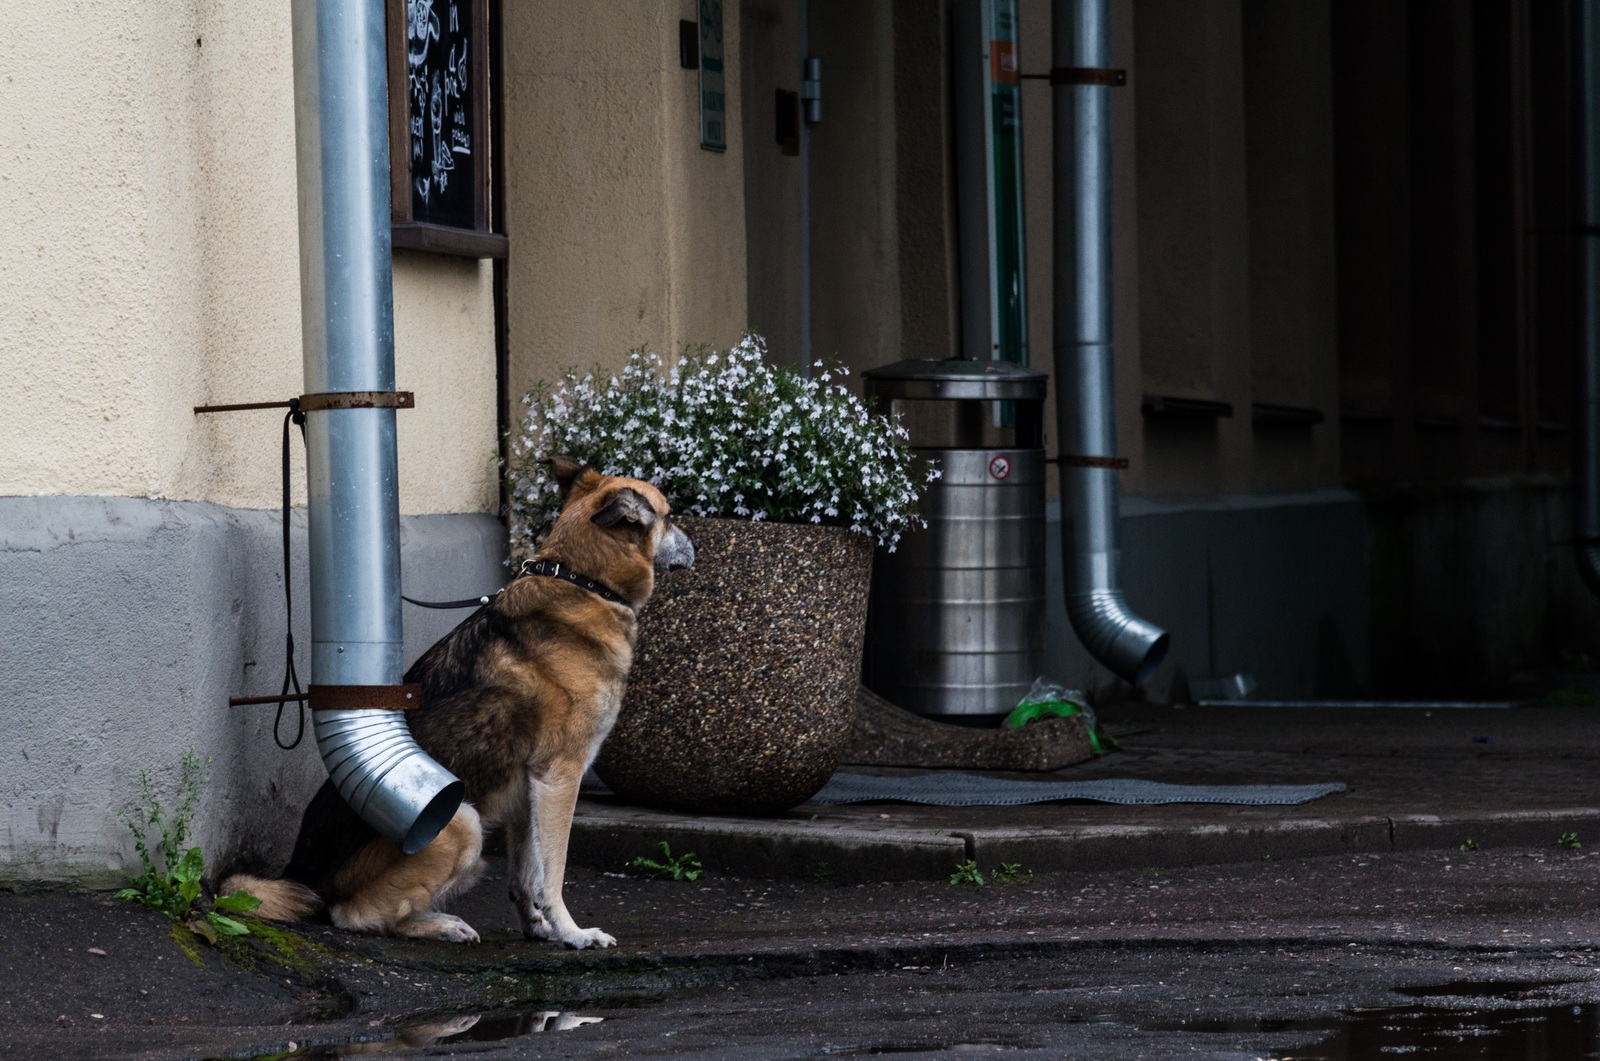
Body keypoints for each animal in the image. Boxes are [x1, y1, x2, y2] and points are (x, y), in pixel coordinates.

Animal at [224, 460, 694, 947]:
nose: (694, 545)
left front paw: (537, 926)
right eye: (669, 516)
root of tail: (304, 873)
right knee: (353, 914)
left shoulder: (528, 788)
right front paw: (574, 933)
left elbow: (526, 874)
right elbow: (553, 873)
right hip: (461, 820)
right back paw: (440, 924)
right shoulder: (559, 776)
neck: (584, 581)